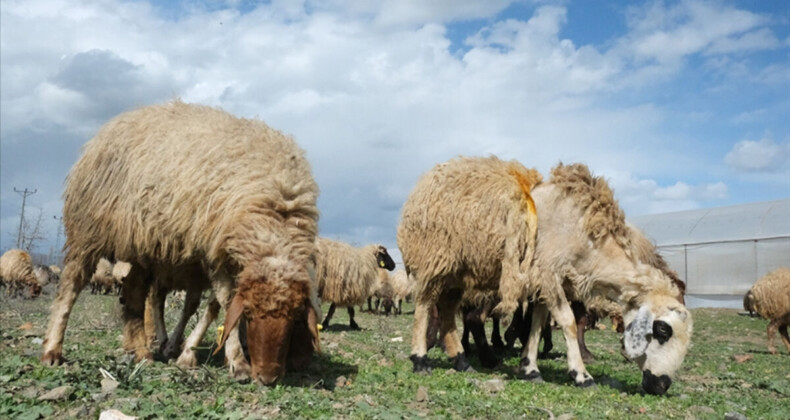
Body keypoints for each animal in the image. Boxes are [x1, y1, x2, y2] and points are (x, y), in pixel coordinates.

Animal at [41, 100, 322, 386]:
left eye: (296, 316)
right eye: (249, 314)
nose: (268, 378)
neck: (276, 213)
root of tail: (114, 124)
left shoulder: (221, 256)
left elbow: (213, 306)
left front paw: (191, 352)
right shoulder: (214, 253)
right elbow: (226, 302)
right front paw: (236, 361)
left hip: (143, 246)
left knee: (135, 293)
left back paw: (142, 352)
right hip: (88, 229)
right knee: (72, 285)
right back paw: (53, 350)